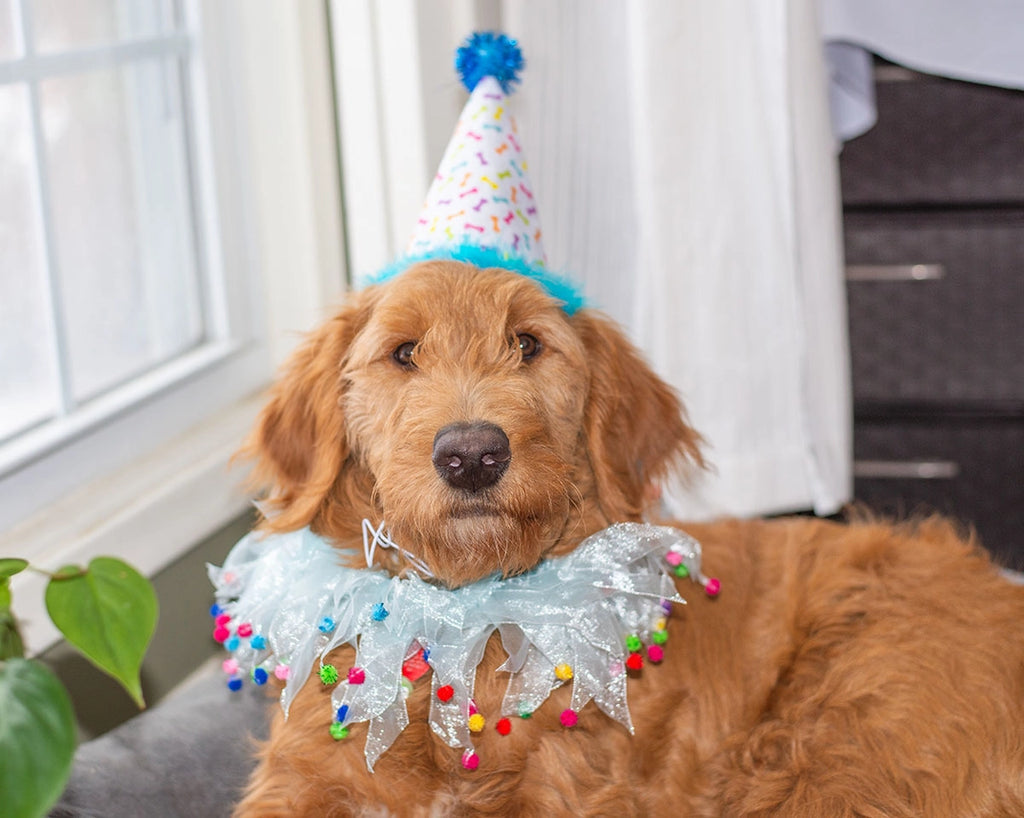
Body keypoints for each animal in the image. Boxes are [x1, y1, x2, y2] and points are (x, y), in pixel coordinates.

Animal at [230, 261, 1024, 810]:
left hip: (830, 750)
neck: (466, 619)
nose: (472, 455)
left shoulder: (576, 789)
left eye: (528, 344)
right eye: (402, 353)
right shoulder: (297, 780)